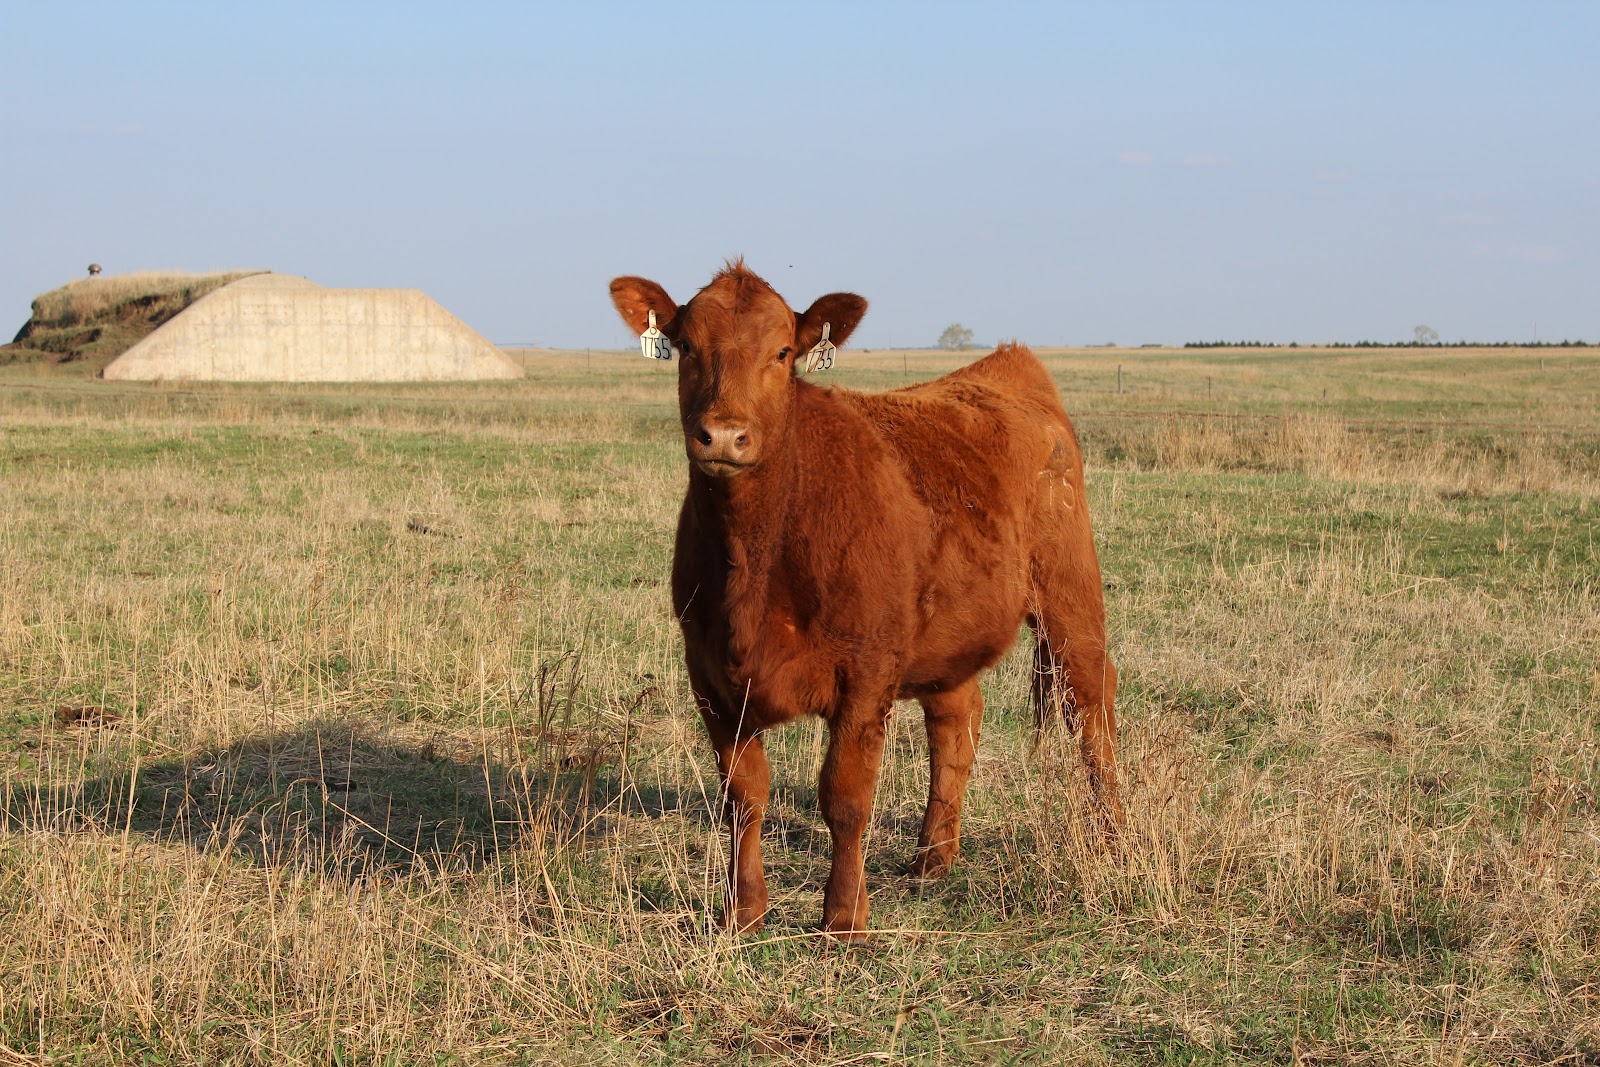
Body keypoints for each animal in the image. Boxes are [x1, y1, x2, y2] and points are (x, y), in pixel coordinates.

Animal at [609, 261, 1122, 939]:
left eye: (783, 353)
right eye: (687, 347)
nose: (722, 435)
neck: (754, 559)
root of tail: (1004, 367)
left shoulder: (867, 670)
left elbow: (846, 797)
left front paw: (843, 918)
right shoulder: (710, 676)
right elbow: (743, 797)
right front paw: (742, 911)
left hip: (1070, 595)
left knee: (1091, 705)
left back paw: (1116, 839)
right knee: (958, 718)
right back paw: (933, 857)